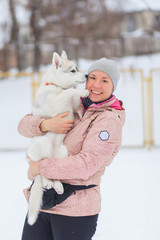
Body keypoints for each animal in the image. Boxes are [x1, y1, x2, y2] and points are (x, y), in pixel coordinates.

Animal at [26, 50, 89, 225]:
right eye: (73, 70)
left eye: (78, 68)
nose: (87, 75)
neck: (56, 86)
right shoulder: (56, 104)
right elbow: (68, 92)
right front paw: (83, 92)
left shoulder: (70, 105)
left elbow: (73, 99)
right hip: (43, 145)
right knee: (41, 170)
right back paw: (48, 182)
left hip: (62, 152)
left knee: (52, 169)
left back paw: (58, 185)